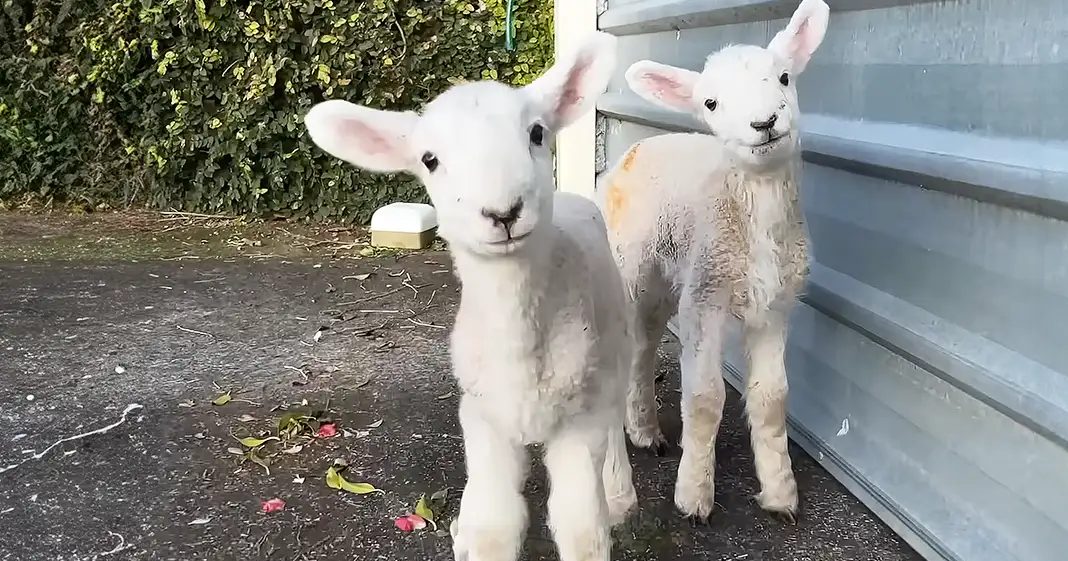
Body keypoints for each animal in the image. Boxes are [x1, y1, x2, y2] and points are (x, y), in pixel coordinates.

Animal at [303, 31, 637, 561]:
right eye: (429, 159)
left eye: (537, 133)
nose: (502, 213)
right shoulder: (482, 418)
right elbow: (494, 525)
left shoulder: (579, 422)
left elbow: (581, 527)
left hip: (615, 349)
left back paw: (621, 493)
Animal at [597, 0, 830, 524]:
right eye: (711, 104)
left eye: (784, 76)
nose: (764, 123)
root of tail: (637, 148)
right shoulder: (706, 297)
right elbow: (705, 399)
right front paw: (694, 496)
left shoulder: (776, 304)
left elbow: (771, 398)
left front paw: (780, 492)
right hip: (626, 265)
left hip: (662, 282)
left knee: (642, 348)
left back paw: (644, 430)